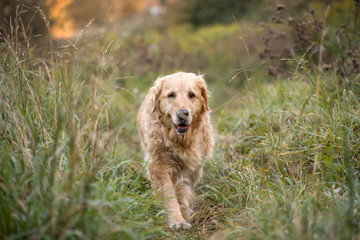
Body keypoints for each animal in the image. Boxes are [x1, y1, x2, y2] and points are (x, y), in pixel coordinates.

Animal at [136, 71, 212, 229]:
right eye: (171, 95)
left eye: (191, 95)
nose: (183, 113)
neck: (180, 141)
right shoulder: (158, 166)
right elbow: (169, 196)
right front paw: (177, 220)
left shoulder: (191, 170)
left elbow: (183, 193)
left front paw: (184, 215)